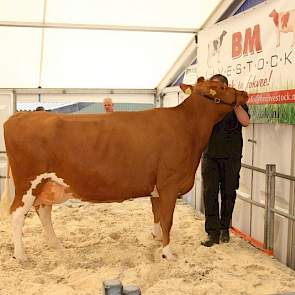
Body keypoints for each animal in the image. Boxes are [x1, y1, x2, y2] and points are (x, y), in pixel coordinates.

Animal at [0, 80, 250, 262]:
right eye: (223, 88)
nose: (245, 93)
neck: (187, 126)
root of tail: (19, 115)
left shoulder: (157, 187)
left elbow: (157, 215)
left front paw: (155, 239)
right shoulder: (169, 184)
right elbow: (168, 220)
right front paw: (168, 253)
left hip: (48, 184)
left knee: (44, 211)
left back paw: (57, 246)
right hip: (28, 182)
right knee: (18, 214)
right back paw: (21, 256)